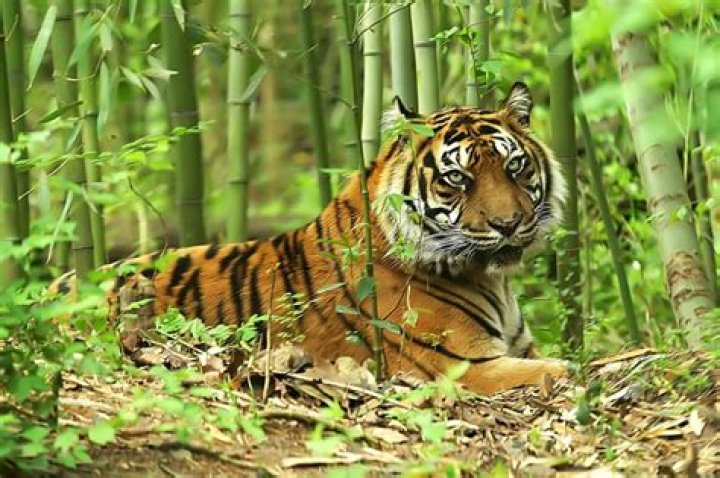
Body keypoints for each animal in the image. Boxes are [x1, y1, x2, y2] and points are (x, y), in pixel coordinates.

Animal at [53, 82, 567, 394]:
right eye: (457, 178)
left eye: (514, 166)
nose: (508, 224)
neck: (491, 280)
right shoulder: (465, 367)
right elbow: (563, 372)